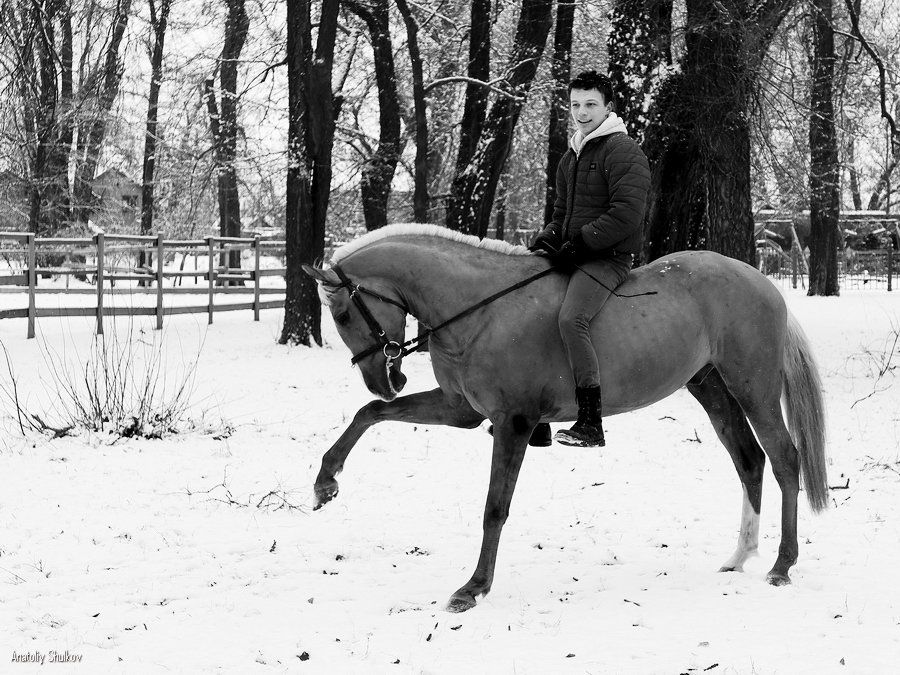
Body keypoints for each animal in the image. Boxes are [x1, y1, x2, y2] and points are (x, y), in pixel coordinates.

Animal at [304, 224, 828, 616]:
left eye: (343, 314)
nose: (382, 379)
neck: (481, 310)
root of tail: (761, 281)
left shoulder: (513, 422)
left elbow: (494, 508)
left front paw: (473, 588)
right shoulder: (461, 409)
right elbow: (371, 414)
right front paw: (326, 481)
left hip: (753, 387)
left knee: (785, 459)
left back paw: (781, 565)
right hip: (711, 387)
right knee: (749, 459)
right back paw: (740, 557)